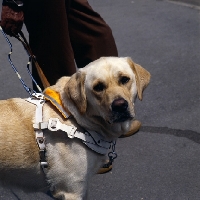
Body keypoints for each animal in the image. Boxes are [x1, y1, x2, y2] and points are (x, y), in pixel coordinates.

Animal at [0, 57, 150, 199]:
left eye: (124, 79)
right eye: (98, 87)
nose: (120, 105)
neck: (76, 119)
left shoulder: (82, 187)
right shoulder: (71, 191)